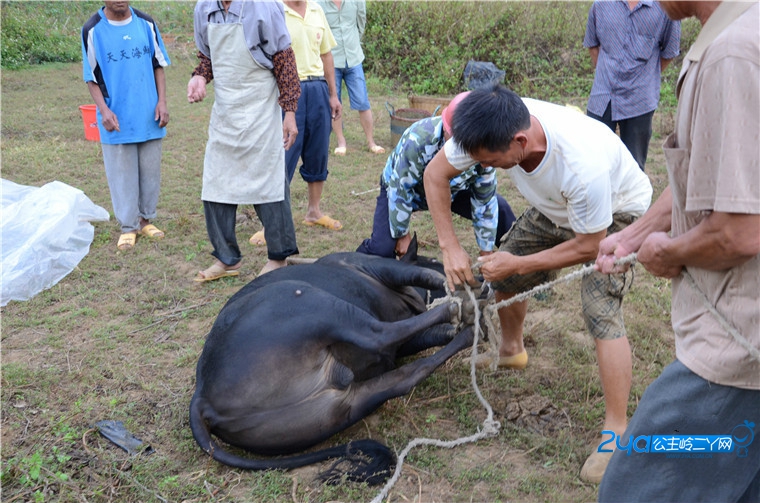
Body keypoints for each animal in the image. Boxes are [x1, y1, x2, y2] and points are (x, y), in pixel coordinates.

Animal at [190, 242, 472, 486]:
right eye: (434, 259)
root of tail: (202, 396)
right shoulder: (374, 265)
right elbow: (422, 274)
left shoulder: (404, 345)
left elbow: (430, 335)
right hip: (315, 304)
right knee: (378, 334)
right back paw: (455, 311)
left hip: (343, 407)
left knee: (408, 374)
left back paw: (467, 334)